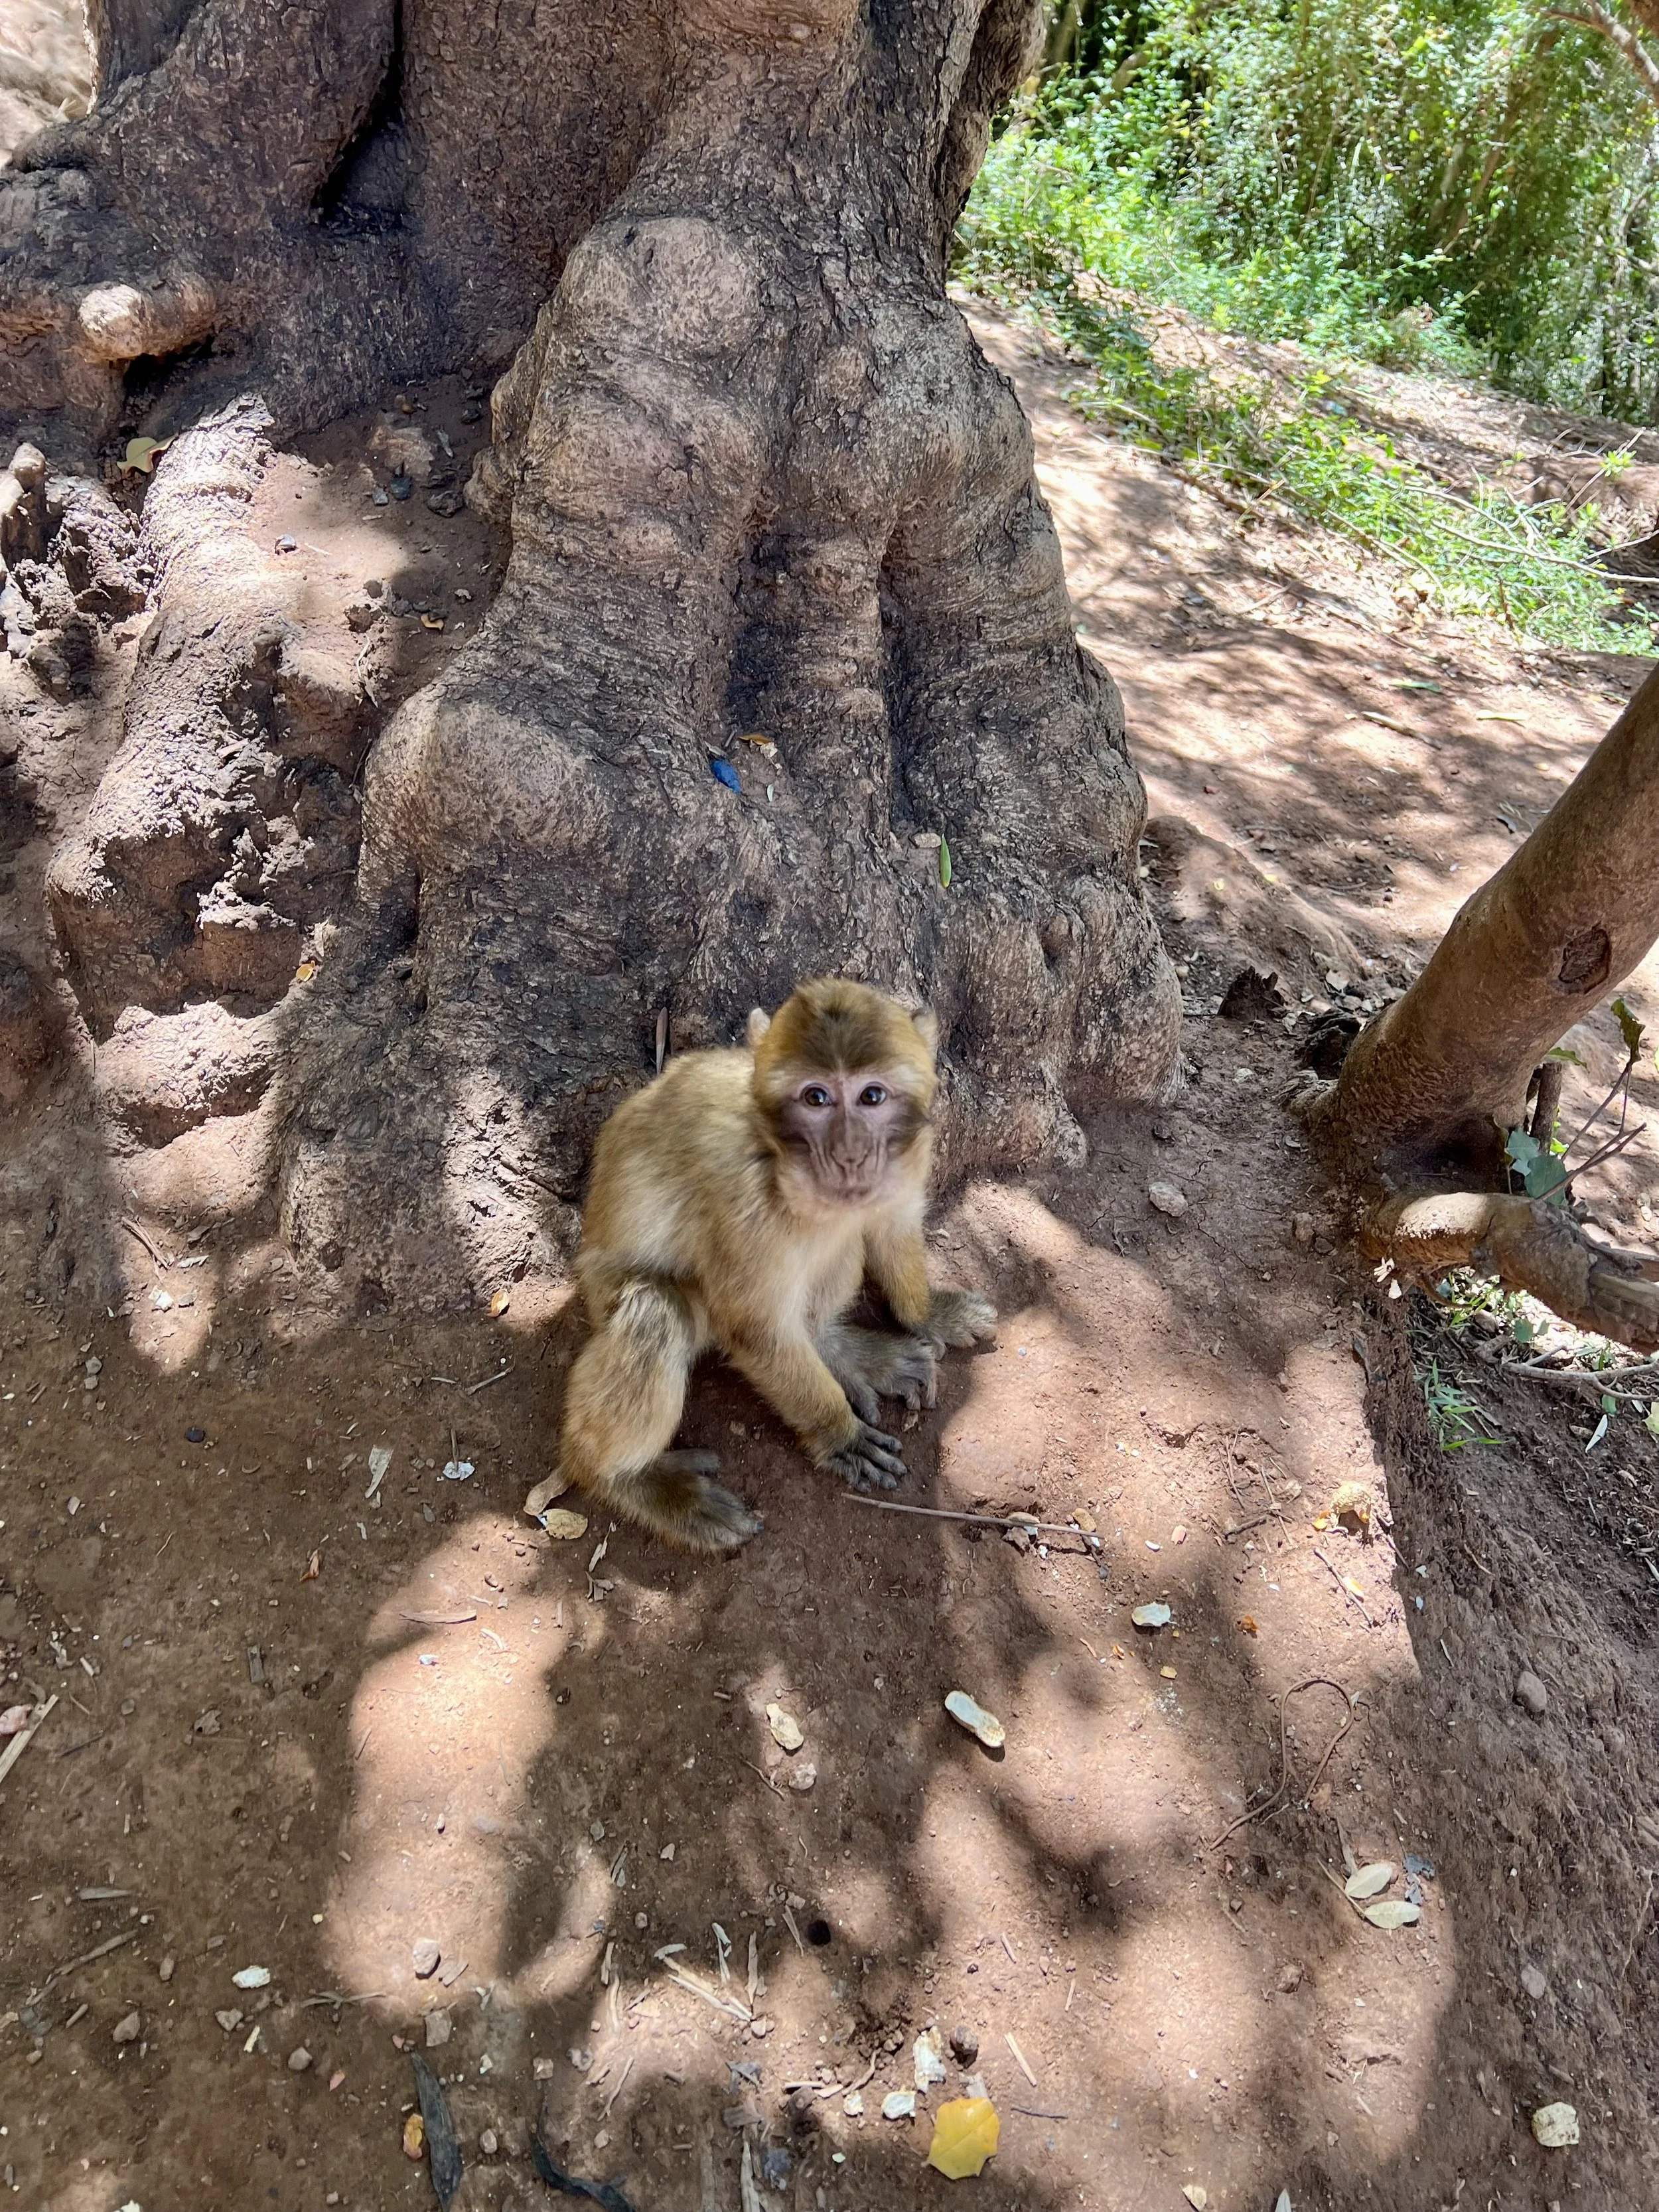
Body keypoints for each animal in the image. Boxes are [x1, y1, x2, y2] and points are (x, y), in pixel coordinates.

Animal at [555, 977, 997, 1552]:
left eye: (872, 1095)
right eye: (815, 1097)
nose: (850, 1153)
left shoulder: (909, 1155)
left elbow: (891, 1224)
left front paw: (928, 1314)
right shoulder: (744, 1198)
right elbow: (756, 1327)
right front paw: (837, 1432)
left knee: (843, 1241)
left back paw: (836, 1347)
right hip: (607, 1292)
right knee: (657, 1308)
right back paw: (624, 1480)